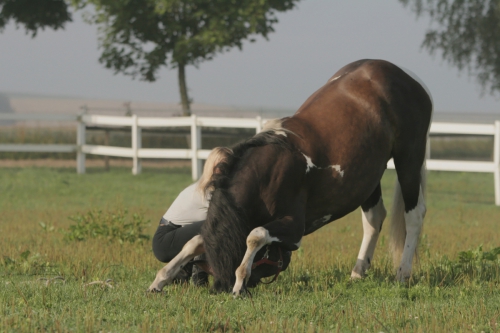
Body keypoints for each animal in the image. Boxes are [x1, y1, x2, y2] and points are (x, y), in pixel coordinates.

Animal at [146, 59, 432, 294]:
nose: (220, 287)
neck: (268, 172)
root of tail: (408, 78)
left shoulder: (295, 228)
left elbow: (255, 234)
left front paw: (239, 281)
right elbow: (194, 241)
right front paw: (161, 278)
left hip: (409, 158)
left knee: (414, 215)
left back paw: (402, 274)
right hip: (368, 177)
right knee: (374, 219)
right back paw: (357, 273)